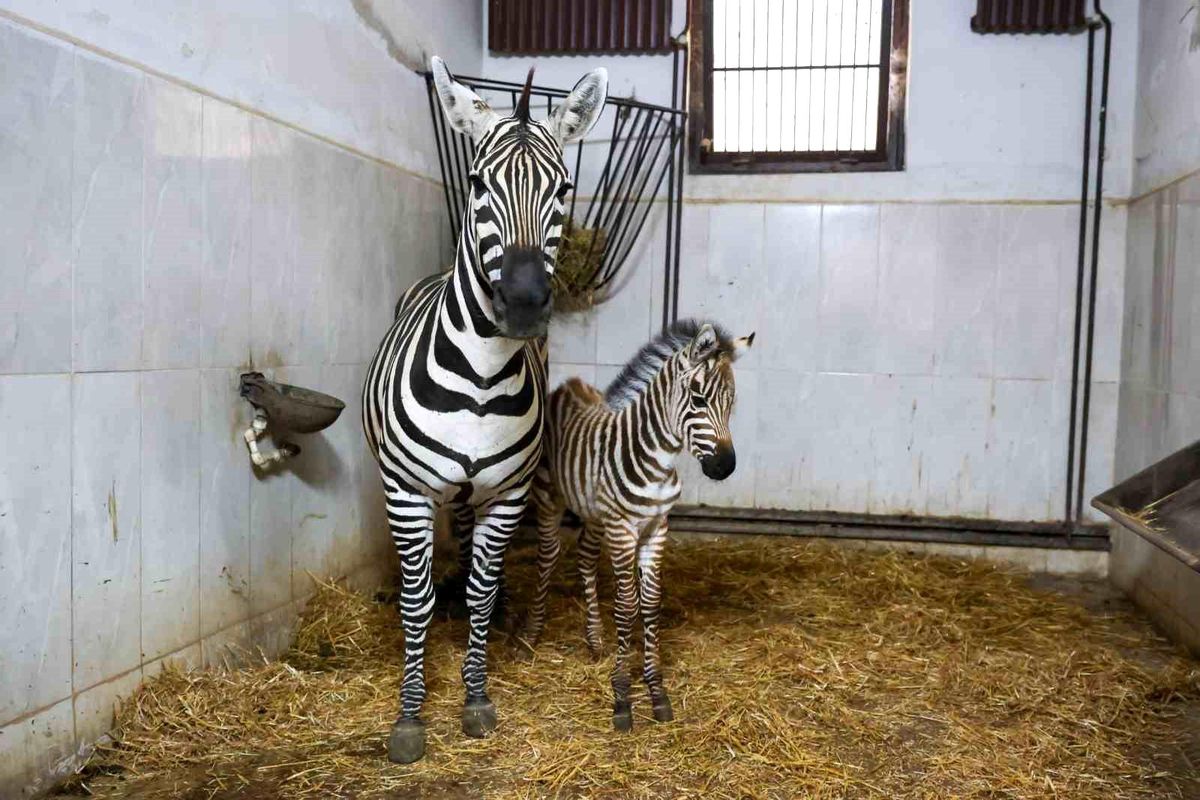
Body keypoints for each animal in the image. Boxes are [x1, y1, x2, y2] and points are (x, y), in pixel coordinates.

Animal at [362, 56, 607, 763]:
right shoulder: (407, 492)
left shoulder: (506, 494)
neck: (478, 379)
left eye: (563, 188)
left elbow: (481, 587)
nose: (523, 303)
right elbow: (415, 600)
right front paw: (410, 715)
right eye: (476, 183)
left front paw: (475, 696)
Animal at [522, 320, 754, 731]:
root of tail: (570, 385)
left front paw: (655, 688)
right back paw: (533, 633)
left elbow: (649, 602)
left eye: (732, 404)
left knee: (584, 558)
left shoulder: (656, 528)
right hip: (550, 498)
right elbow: (627, 605)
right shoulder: (623, 530)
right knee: (548, 557)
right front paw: (621, 692)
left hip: (595, 514)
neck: (657, 462)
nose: (725, 467)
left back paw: (594, 640)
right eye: (698, 400)